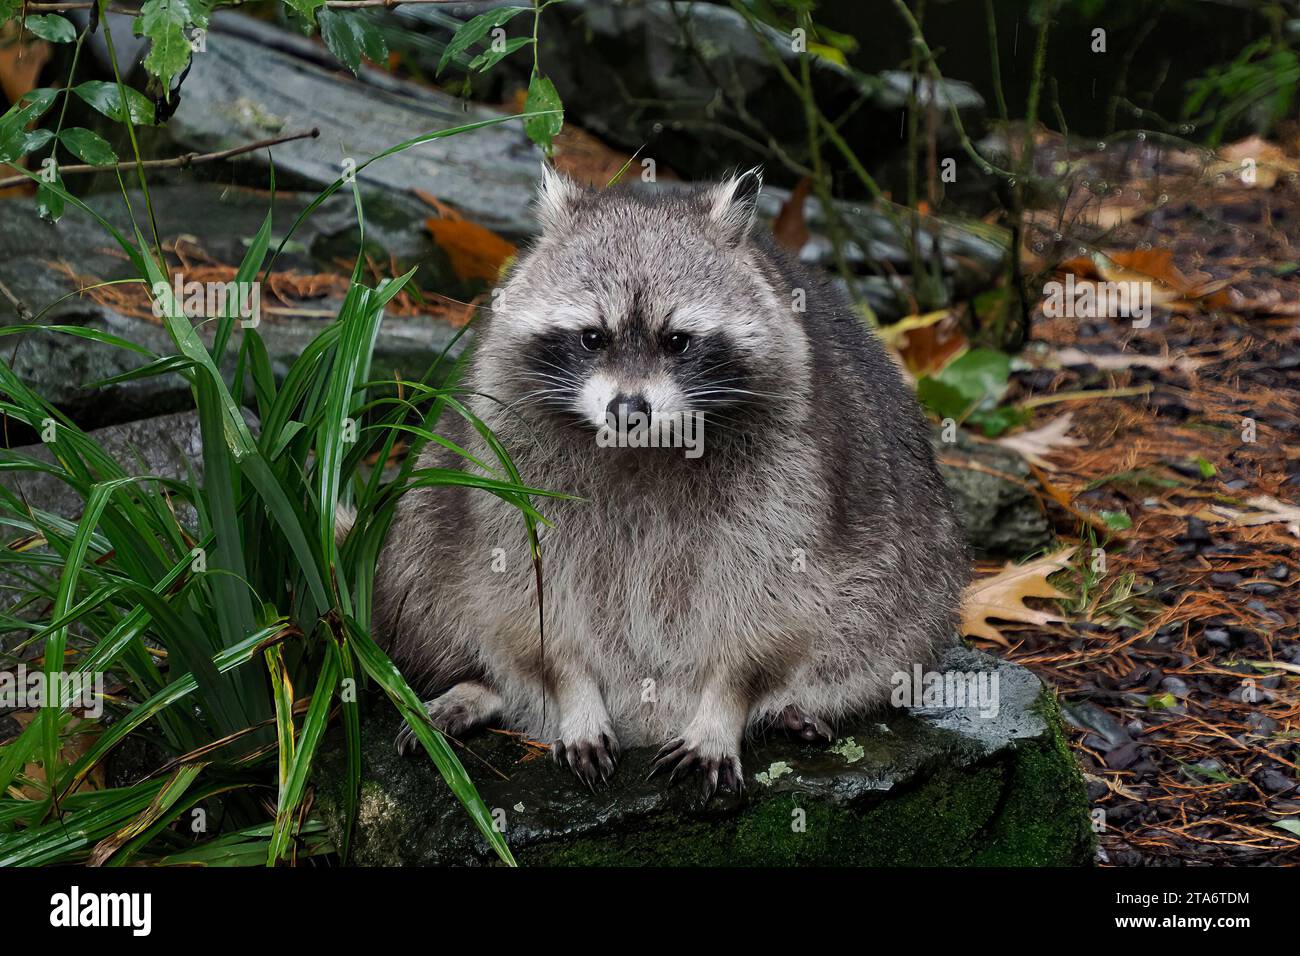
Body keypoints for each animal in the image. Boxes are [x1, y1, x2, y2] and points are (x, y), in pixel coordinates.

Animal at [373, 168, 969, 796]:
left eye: (678, 340)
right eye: (592, 338)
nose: (627, 409)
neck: (640, 448)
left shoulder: (789, 466)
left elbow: (767, 597)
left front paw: (725, 703)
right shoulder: (510, 460)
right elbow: (530, 587)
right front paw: (572, 686)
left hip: (913, 563)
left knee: (893, 619)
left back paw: (798, 702)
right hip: (427, 509)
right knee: (421, 556)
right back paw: (477, 683)